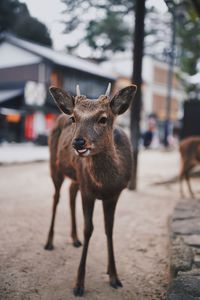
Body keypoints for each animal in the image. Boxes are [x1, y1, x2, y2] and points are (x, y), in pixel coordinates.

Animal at [44, 82, 137, 296]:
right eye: (74, 118)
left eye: (103, 118)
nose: (78, 142)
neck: (105, 183)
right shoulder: (88, 191)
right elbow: (89, 229)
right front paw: (78, 284)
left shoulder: (114, 194)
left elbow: (109, 228)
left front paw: (114, 276)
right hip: (55, 166)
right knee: (56, 198)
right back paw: (49, 242)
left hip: (77, 176)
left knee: (70, 192)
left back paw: (74, 239)